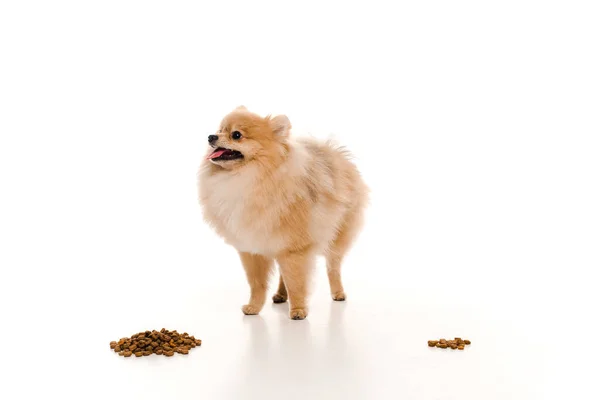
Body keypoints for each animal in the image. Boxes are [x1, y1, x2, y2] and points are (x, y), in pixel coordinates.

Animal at [198, 105, 366, 318]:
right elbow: (257, 284)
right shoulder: (252, 249)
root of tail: (336, 155)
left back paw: (338, 293)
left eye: (236, 135)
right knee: (282, 274)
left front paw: (298, 311)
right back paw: (280, 295)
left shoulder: (295, 248)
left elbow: (296, 282)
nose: (211, 137)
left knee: (333, 267)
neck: (247, 176)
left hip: (337, 236)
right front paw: (254, 307)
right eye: (219, 130)